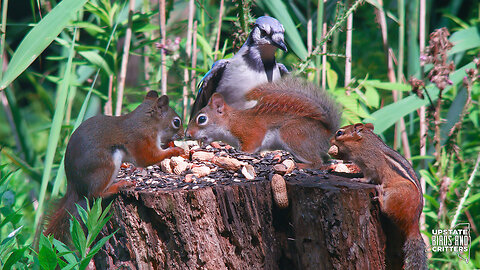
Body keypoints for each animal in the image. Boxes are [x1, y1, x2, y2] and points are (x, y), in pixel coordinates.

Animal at [45, 91, 185, 243]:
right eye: (176, 122)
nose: (183, 134)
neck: (146, 122)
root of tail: (74, 186)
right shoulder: (143, 140)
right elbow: (150, 158)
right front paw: (175, 150)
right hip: (106, 166)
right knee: (95, 194)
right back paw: (120, 185)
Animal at [186, 77, 340, 168]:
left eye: (202, 119)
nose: (187, 134)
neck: (230, 121)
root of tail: (327, 132)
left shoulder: (249, 130)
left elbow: (252, 144)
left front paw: (241, 152)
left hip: (294, 135)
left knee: (317, 163)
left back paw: (303, 166)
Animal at [328, 123, 426, 268]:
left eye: (339, 133)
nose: (330, 141)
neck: (366, 144)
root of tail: (413, 225)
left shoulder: (370, 166)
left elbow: (368, 177)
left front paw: (359, 179)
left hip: (395, 195)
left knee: (386, 210)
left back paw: (379, 196)